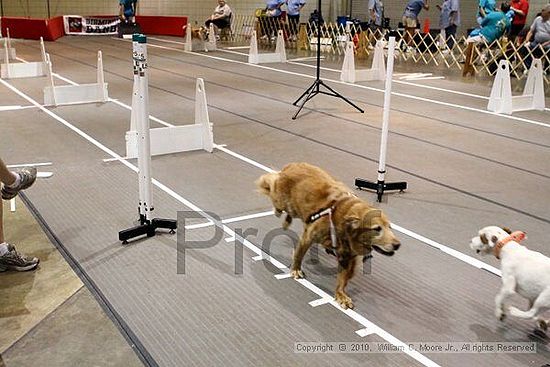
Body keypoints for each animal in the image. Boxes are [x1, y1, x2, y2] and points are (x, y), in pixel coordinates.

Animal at [256, 162, 404, 310]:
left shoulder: (348, 258)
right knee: (271, 183)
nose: (397, 245)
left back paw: (287, 221)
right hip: (282, 200)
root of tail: (292, 165)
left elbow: (343, 280)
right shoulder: (308, 238)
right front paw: (296, 269)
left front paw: (341, 295)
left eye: (390, 227)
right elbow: (299, 255)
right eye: (377, 229)